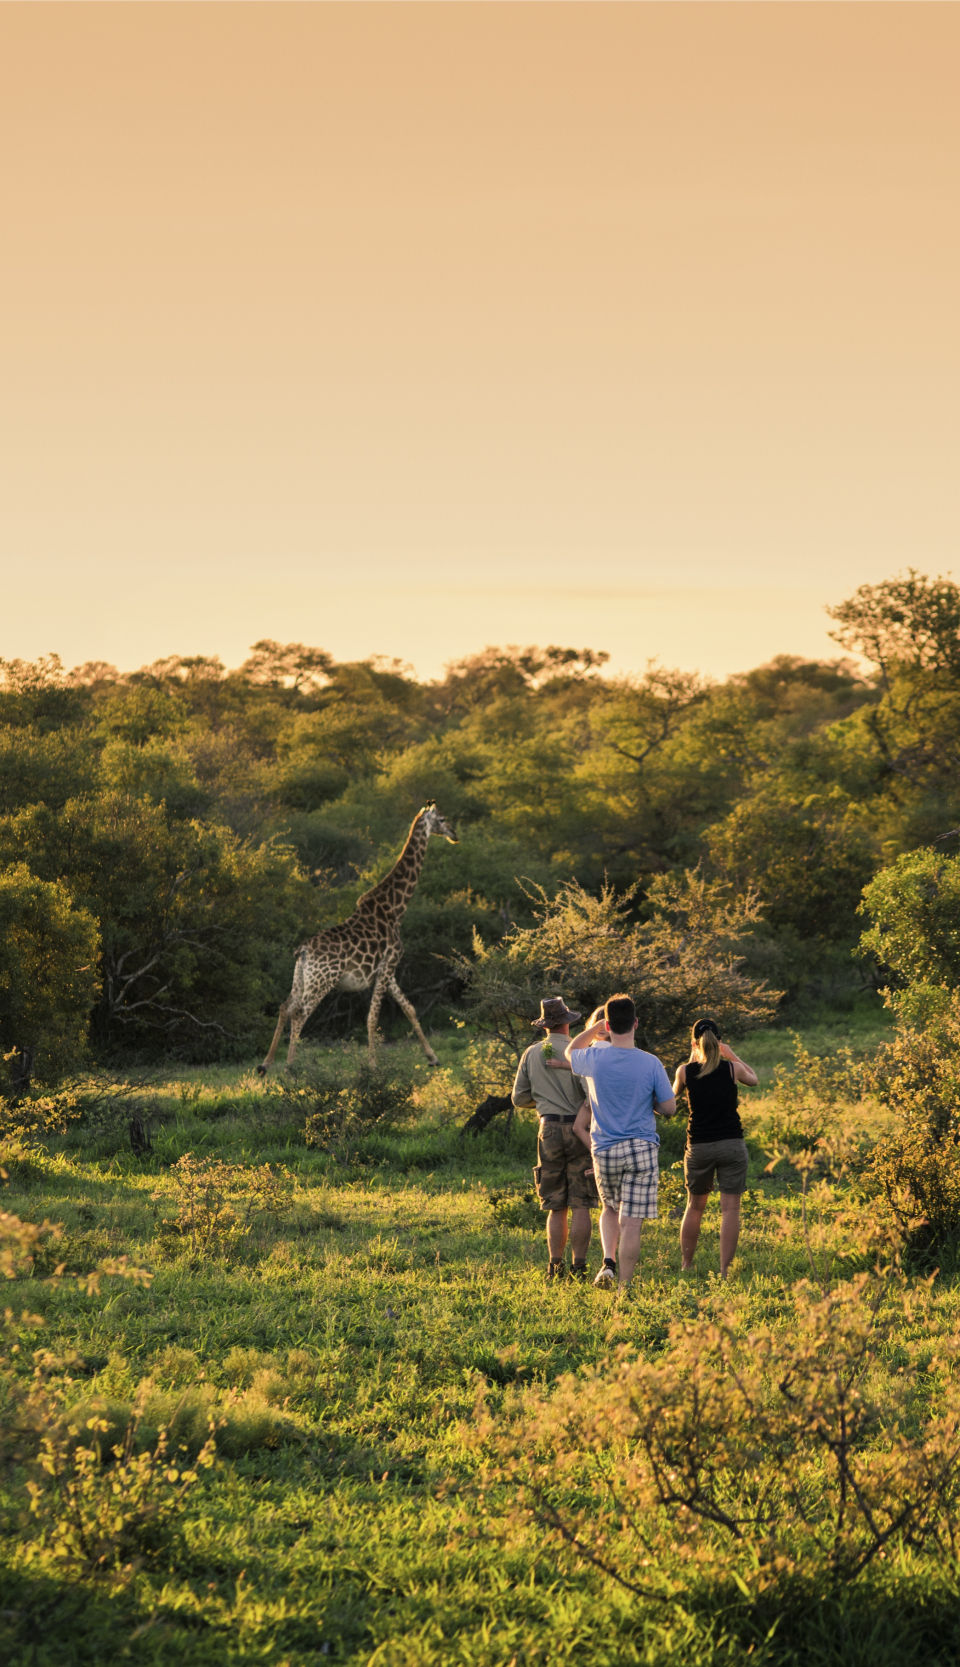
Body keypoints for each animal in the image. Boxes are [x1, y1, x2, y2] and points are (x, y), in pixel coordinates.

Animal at [256, 803, 460, 1066]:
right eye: (442, 819)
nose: (455, 834)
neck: (395, 909)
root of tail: (303, 950)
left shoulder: (388, 971)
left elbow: (409, 1008)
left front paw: (433, 1057)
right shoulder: (388, 965)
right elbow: (373, 1017)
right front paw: (373, 1065)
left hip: (302, 977)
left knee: (285, 1007)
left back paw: (266, 1064)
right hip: (323, 980)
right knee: (300, 1013)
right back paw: (290, 1067)